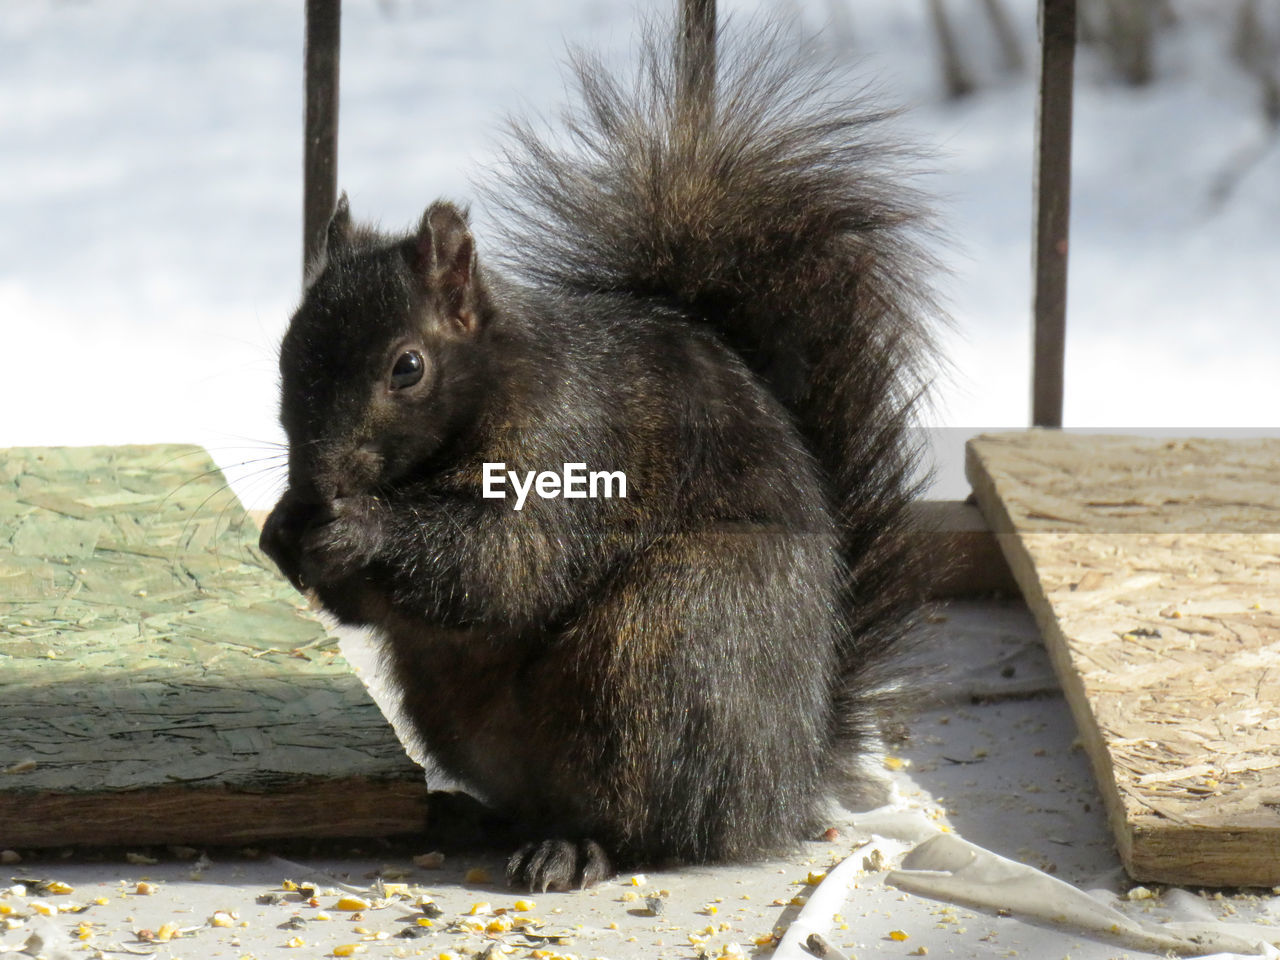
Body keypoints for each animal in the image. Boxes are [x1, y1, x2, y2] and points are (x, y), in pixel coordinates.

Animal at [259, 20, 942, 896]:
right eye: (286, 351)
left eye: (406, 368)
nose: (317, 483)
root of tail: (786, 773)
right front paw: (283, 529)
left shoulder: (571, 444)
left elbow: (506, 562)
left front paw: (360, 528)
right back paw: (469, 815)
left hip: (666, 643)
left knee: (650, 825)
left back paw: (576, 846)